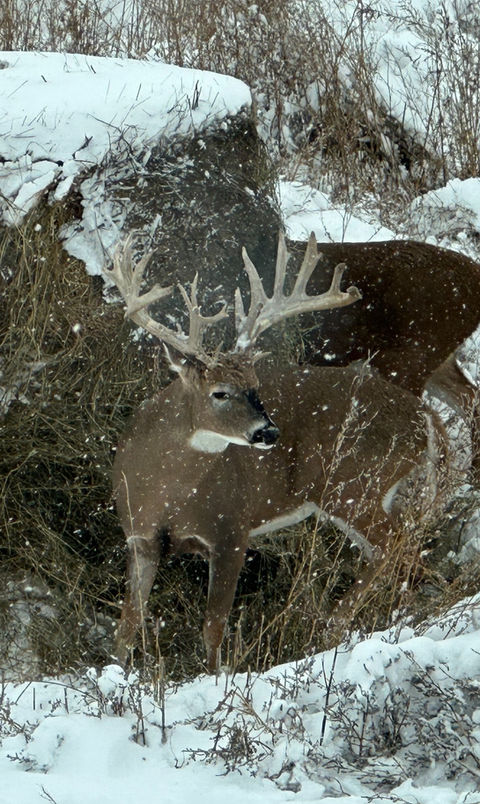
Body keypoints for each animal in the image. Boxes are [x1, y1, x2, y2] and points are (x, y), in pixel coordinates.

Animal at [108, 232, 452, 673]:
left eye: (255, 384)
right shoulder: (140, 537)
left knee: (392, 543)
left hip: (353, 484)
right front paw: (116, 672)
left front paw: (218, 676)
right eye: (220, 392)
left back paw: (332, 628)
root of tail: (426, 416)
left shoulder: (231, 527)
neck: (165, 490)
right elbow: (127, 623)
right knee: (401, 547)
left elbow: (213, 626)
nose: (269, 431)